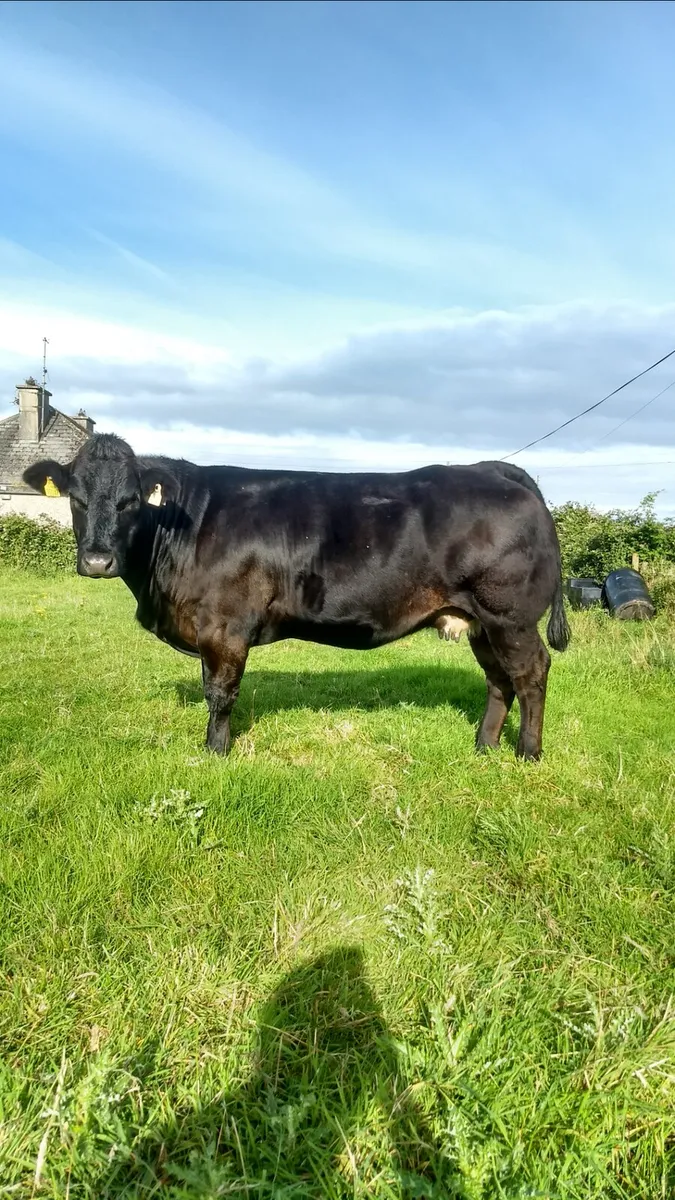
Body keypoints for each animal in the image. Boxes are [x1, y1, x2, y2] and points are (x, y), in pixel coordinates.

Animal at [24, 435, 570, 760]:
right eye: (75, 499)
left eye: (130, 501)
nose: (97, 561)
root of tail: (493, 469)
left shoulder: (225, 626)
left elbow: (220, 694)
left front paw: (215, 754)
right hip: (479, 620)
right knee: (499, 680)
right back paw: (484, 746)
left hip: (510, 617)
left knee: (531, 674)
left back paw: (527, 753)